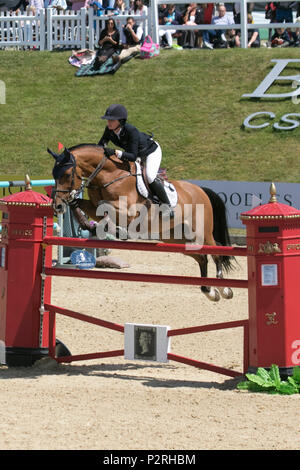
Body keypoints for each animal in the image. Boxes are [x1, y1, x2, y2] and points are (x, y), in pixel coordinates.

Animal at [48, 143, 234, 302]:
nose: (57, 206)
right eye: (54, 175)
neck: (110, 175)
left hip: (202, 232)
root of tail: (200, 190)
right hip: (174, 237)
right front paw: (88, 224)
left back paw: (224, 289)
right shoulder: (93, 206)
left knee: (216, 252)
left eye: (66, 174)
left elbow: (105, 206)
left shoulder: (129, 211)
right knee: (201, 257)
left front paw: (115, 230)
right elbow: (82, 204)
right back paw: (209, 291)